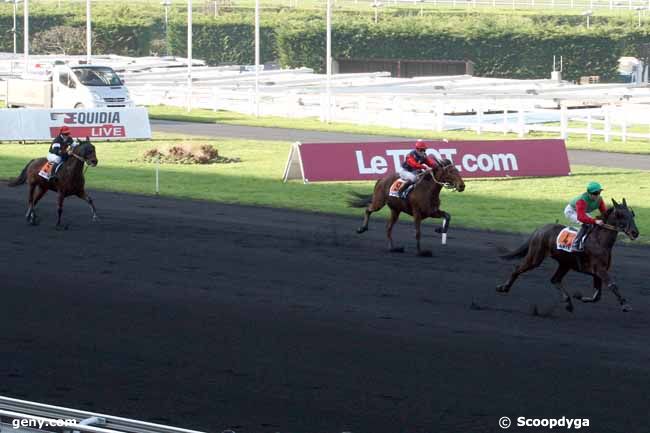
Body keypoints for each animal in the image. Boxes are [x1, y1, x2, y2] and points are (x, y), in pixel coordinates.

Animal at [496, 197, 636, 312]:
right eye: (620, 215)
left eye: (632, 214)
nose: (635, 232)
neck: (599, 241)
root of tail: (540, 229)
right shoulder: (599, 269)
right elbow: (612, 285)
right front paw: (625, 305)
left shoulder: (598, 271)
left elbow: (597, 295)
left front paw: (580, 297)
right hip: (535, 257)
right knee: (518, 268)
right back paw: (503, 287)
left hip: (565, 263)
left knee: (555, 280)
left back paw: (568, 302)